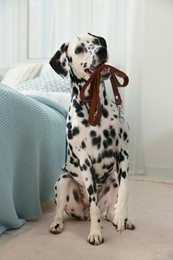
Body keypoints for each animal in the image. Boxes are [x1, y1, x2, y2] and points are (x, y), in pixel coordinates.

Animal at [49, 33, 135, 246]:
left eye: (97, 41)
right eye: (79, 49)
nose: (101, 51)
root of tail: (83, 214)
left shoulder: (123, 154)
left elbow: (125, 192)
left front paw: (121, 217)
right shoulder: (85, 162)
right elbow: (95, 205)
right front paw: (95, 233)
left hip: (112, 181)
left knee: (109, 212)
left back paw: (120, 219)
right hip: (62, 181)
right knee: (61, 211)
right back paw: (57, 224)